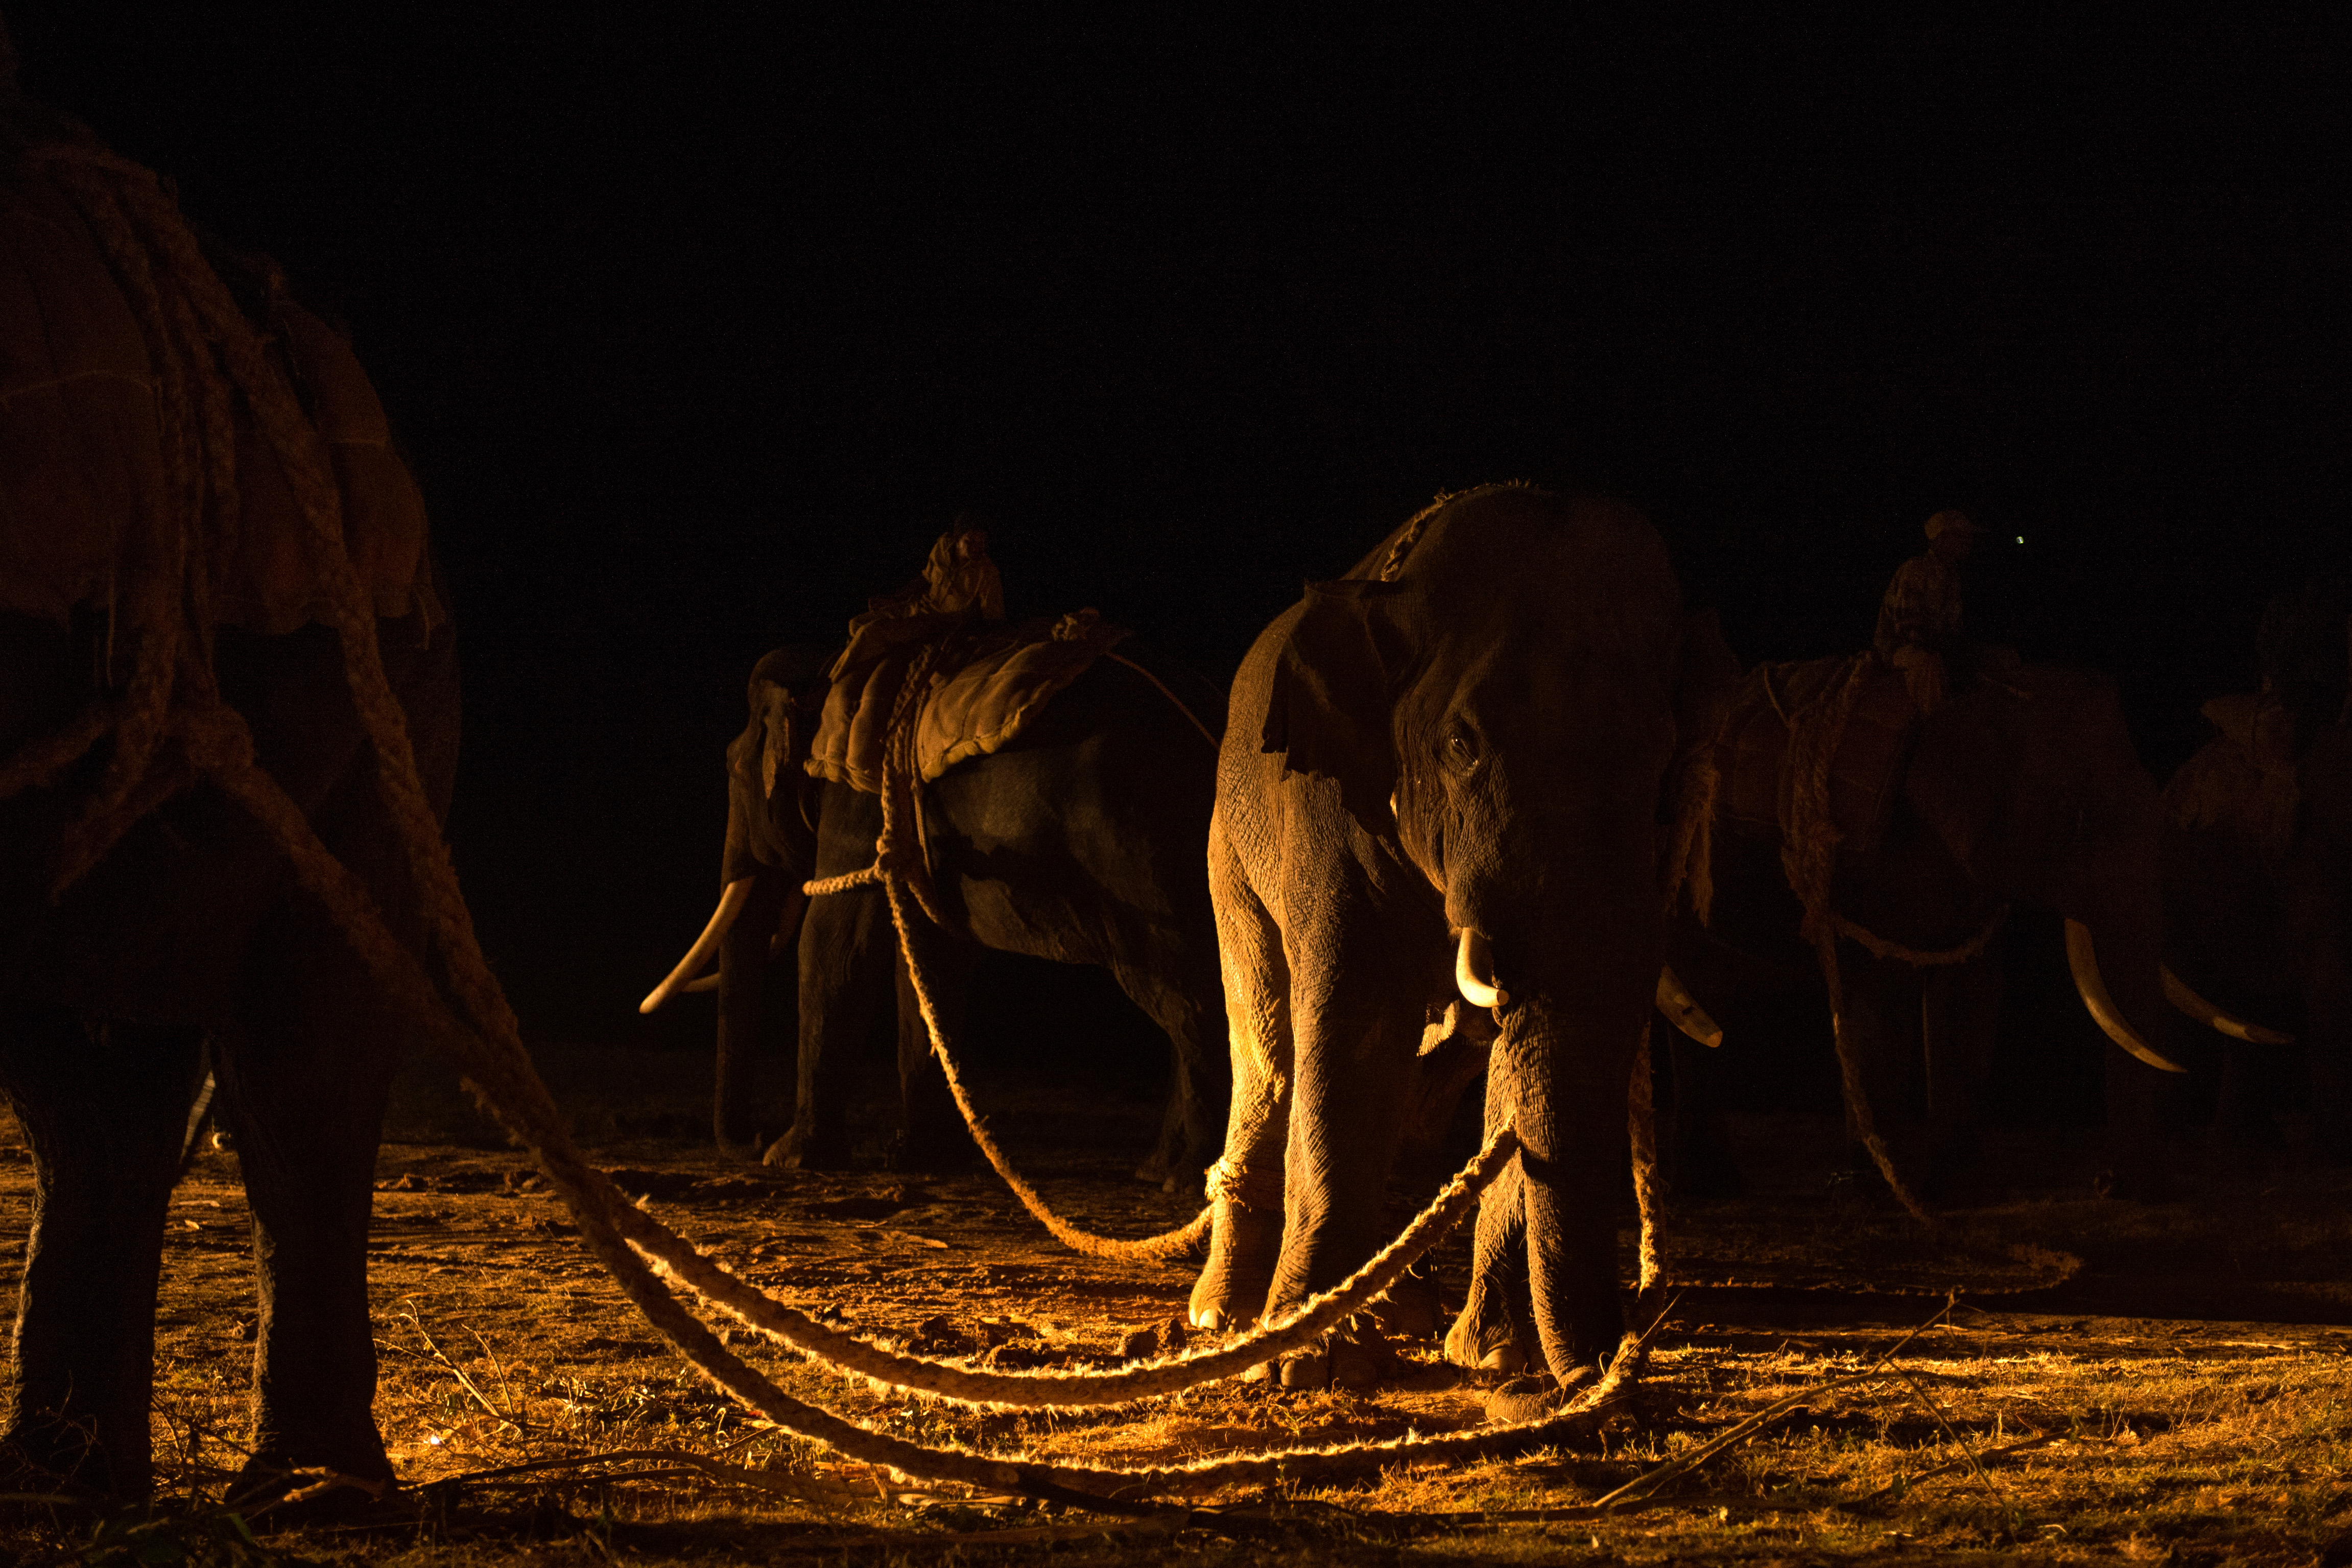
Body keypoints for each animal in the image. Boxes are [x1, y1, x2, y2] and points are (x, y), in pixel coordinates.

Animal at [643, 636, 1233, 1187]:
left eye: (734, 768)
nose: (752, 1139)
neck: (827, 667)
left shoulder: (856, 798)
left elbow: (834, 942)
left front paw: (789, 1159)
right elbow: (931, 961)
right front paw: (917, 1160)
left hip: (1145, 858)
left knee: (1189, 1002)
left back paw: (1187, 1177)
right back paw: (1157, 1170)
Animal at [1182, 483, 1737, 1394]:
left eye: (1663, 763)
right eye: (1460, 745)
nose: (1601, 1366)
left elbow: (1516, 1058)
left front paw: (1498, 1354)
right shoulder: (1329, 812)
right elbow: (1352, 1023)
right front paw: (1309, 1363)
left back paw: (1402, 1308)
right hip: (1229, 857)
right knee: (1264, 1048)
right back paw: (1224, 1317)